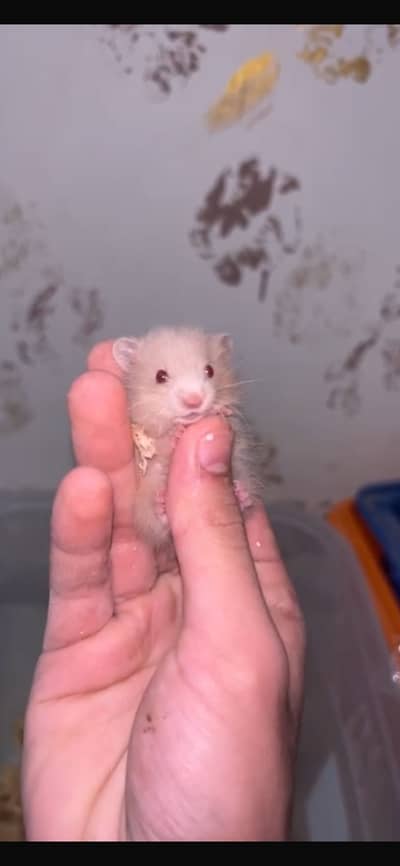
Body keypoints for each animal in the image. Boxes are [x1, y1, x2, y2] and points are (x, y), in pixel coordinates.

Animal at [112, 326, 265, 553]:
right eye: (160, 376)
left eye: (210, 370)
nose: (194, 401)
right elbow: (160, 441)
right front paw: (176, 433)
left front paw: (220, 410)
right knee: (157, 526)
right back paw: (161, 505)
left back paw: (240, 494)